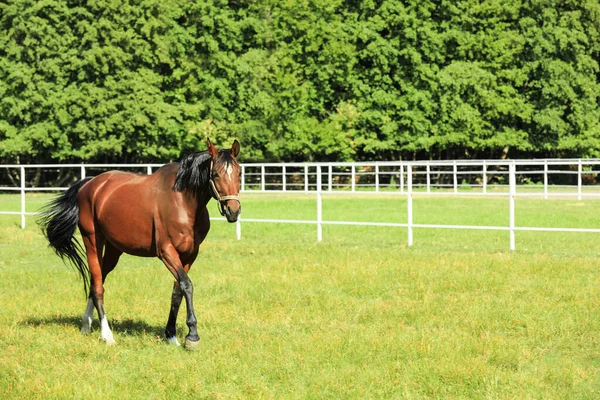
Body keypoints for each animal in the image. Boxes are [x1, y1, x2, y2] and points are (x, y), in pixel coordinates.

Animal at [37, 138, 241, 350]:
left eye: (239, 173)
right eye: (216, 174)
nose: (233, 210)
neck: (183, 202)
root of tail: (90, 184)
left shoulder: (190, 254)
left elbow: (177, 291)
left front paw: (171, 335)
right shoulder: (166, 251)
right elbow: (187, 285)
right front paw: (192, 336)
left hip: (113, 249)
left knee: (96, 280)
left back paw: (86, 324)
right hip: (92, 240)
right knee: (98, 286)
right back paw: (106, 335)